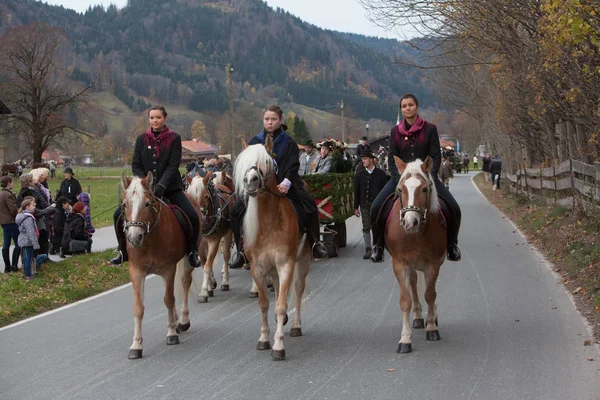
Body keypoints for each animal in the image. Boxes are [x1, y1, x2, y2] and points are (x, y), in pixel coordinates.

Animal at [120, 172, 202, 360]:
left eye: (147, 203)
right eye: (125, 204)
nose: (134, 238)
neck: (151, 236)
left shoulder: (168, 269)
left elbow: (169, 299)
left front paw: (171, 334)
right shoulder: (136, 272)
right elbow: (138, 307)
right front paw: (136, 345)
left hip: (186, 260)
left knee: (184, 283)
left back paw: (182, 321)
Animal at [233, 136, 312, 360]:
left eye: (267, 162)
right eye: (244, 163)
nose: (250, 181)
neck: (269, 222)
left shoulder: (286, 264)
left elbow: (281, 305)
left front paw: (278, 345)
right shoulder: (257, 268)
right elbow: (264, 304)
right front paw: (264, 339)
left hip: (303, 261)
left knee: (298, 289)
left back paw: (295, 326)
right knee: (276, 289)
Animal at [384, 156, 446, 354]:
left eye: (424, 189)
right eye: (400, 190)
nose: (410, 222)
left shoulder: (433, 264)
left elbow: (430, 294)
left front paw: (432, 328)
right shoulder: (400, 264)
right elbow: (405, 300)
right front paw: (405, 339)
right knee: (413, 283)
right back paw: (419, 317)